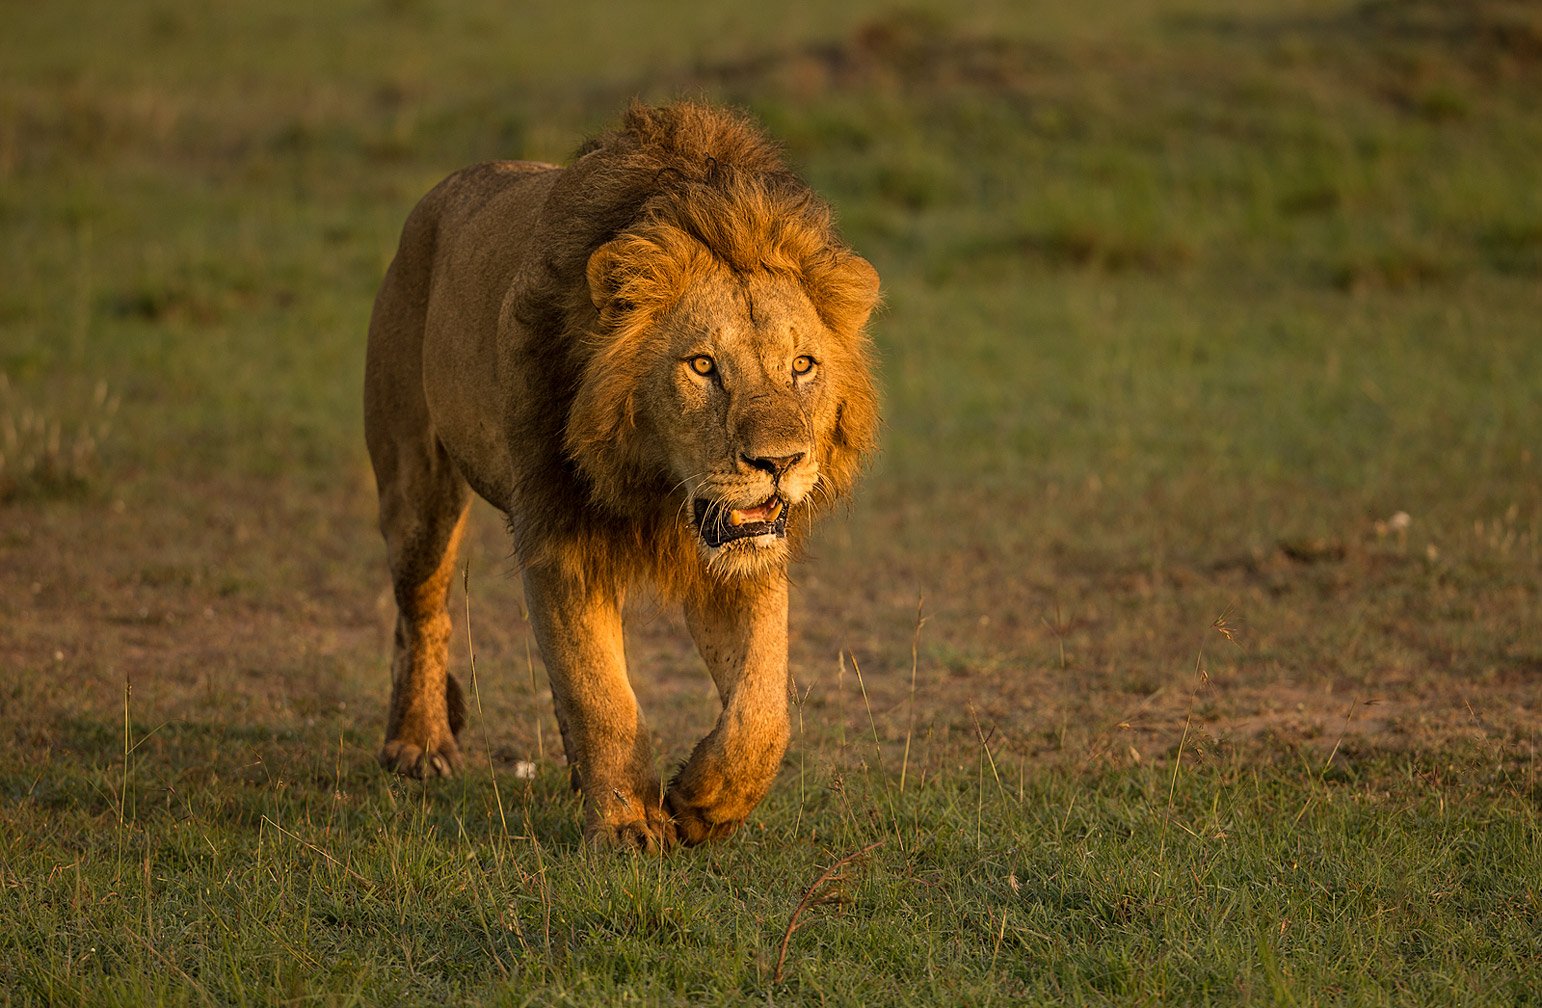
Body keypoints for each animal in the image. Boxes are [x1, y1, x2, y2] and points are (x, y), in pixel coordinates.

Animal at [359, 102, 882, 850]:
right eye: (702, 366)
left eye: (802, 365)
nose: (780, 463)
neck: (658, 488)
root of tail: (441, 192)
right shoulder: (561, 538)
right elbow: (600, 693)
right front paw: (629, 824)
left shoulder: (740, 555)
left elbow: (762, 706)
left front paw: (704, 801)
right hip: (416, 489)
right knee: (420, 614)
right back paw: (419, 744)